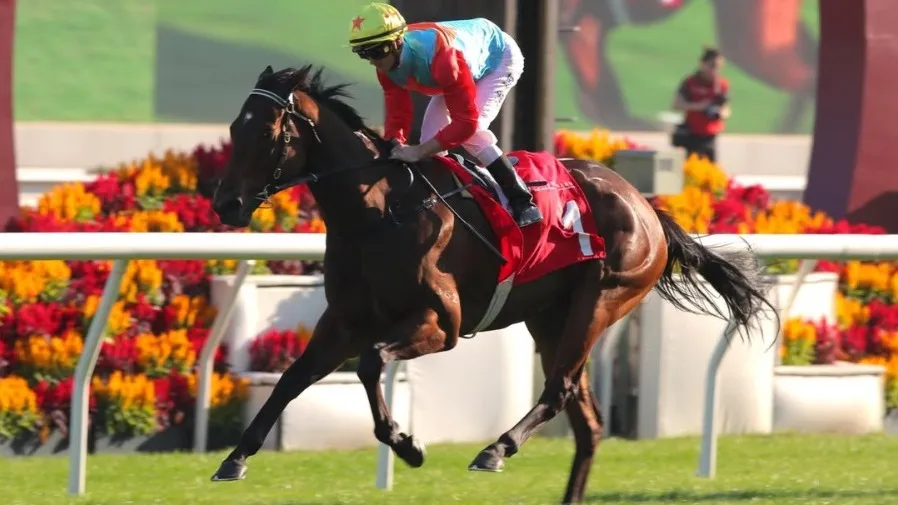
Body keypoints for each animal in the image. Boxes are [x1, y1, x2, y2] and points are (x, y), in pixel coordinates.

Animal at [209, 64, 775, 504]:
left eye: (266, 134)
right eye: (234, 128)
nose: (225, 204)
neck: (379, 211)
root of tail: (647, 206)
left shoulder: (441, 323)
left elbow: (371, 362)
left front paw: (407, 444)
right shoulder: (344, 321)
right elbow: (291, 379)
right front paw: (235, 459)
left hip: (601, 300)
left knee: (559, 389)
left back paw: (495, 449)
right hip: (550, 318)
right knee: (588, 422)